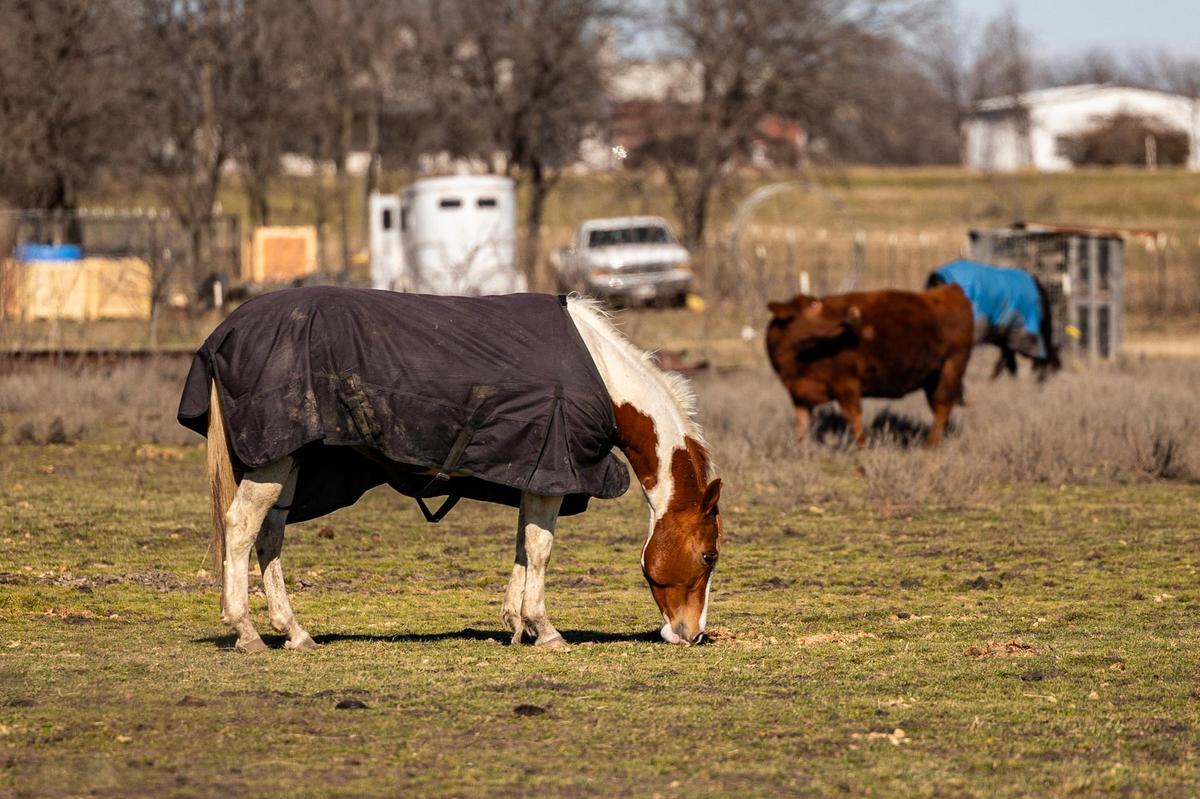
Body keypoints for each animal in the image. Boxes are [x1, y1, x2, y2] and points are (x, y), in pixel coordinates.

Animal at [179, 288, 722, 653]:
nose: (691, 634)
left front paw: (516, 623)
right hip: (274, 459)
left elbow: (524, 545)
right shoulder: (553, 472)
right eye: (709, 556)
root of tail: (224, 333)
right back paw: (245, 631)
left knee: (269, 535)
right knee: (241, 529)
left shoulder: (534, 473)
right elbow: (540, 549)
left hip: (290, 460)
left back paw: (293, 631)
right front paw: (544, 629)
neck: (601, 374)